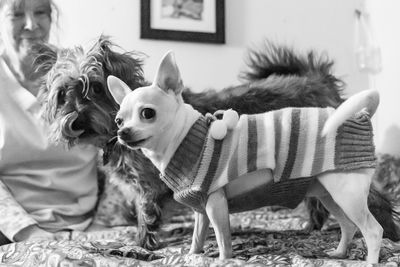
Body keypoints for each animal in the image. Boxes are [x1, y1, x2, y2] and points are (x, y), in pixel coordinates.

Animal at [36, 36, 398, 250]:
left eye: (95, 88)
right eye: (63, 94)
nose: (75, 122)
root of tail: (315, 79)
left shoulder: (150, 189)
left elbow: (147, 215)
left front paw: (142, 246)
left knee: (374, 199)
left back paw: (388, 232)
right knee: (318, 200)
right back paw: (314, 226)